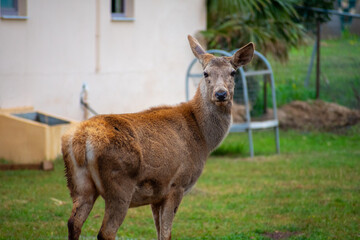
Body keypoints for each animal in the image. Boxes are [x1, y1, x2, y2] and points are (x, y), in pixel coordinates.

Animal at [61, 34, 253, 239]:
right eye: (205, 73)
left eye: (233, 72)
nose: (221, 93)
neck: (203, 138)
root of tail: (82, 141)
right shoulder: (176, 184)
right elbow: (167, 234)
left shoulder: (157, 194)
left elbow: (159, 233)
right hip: (119, 184)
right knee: (106, 232)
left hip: (79, 185)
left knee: (74, 222)